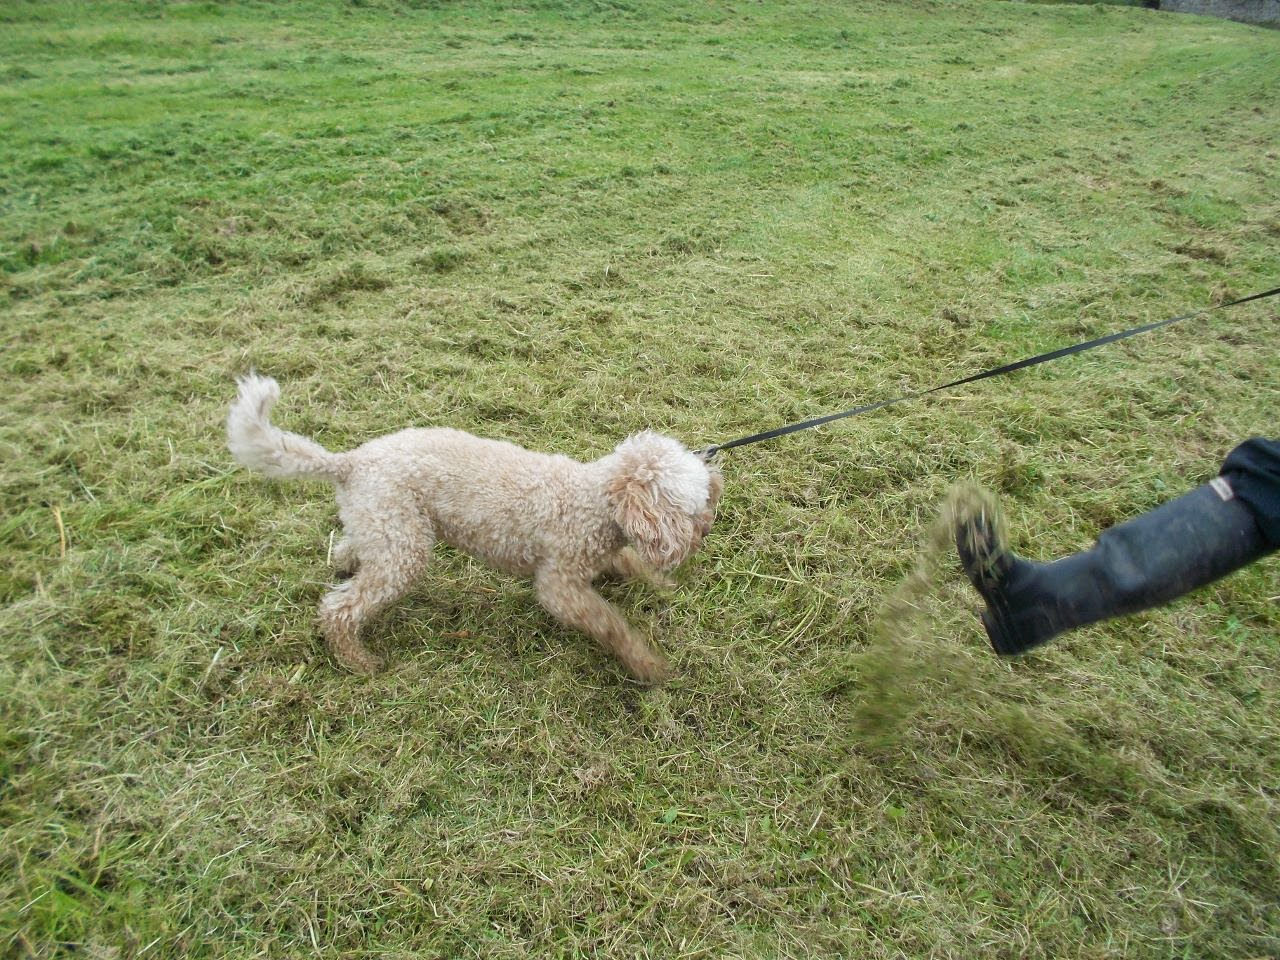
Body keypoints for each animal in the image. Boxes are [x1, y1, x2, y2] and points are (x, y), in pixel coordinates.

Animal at [226, 374, 722, 683]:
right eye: (688, 510)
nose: (703, 532)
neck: (594, 500)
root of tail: (349, 462)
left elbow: (632, 564)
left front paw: (662, 585)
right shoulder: (560, 586)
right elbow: (611, 624)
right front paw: (649, 666)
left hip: (389, 526)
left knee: (349, 551)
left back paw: (345, 565)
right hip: (404, 551)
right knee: (339, 609)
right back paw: (359, 661)